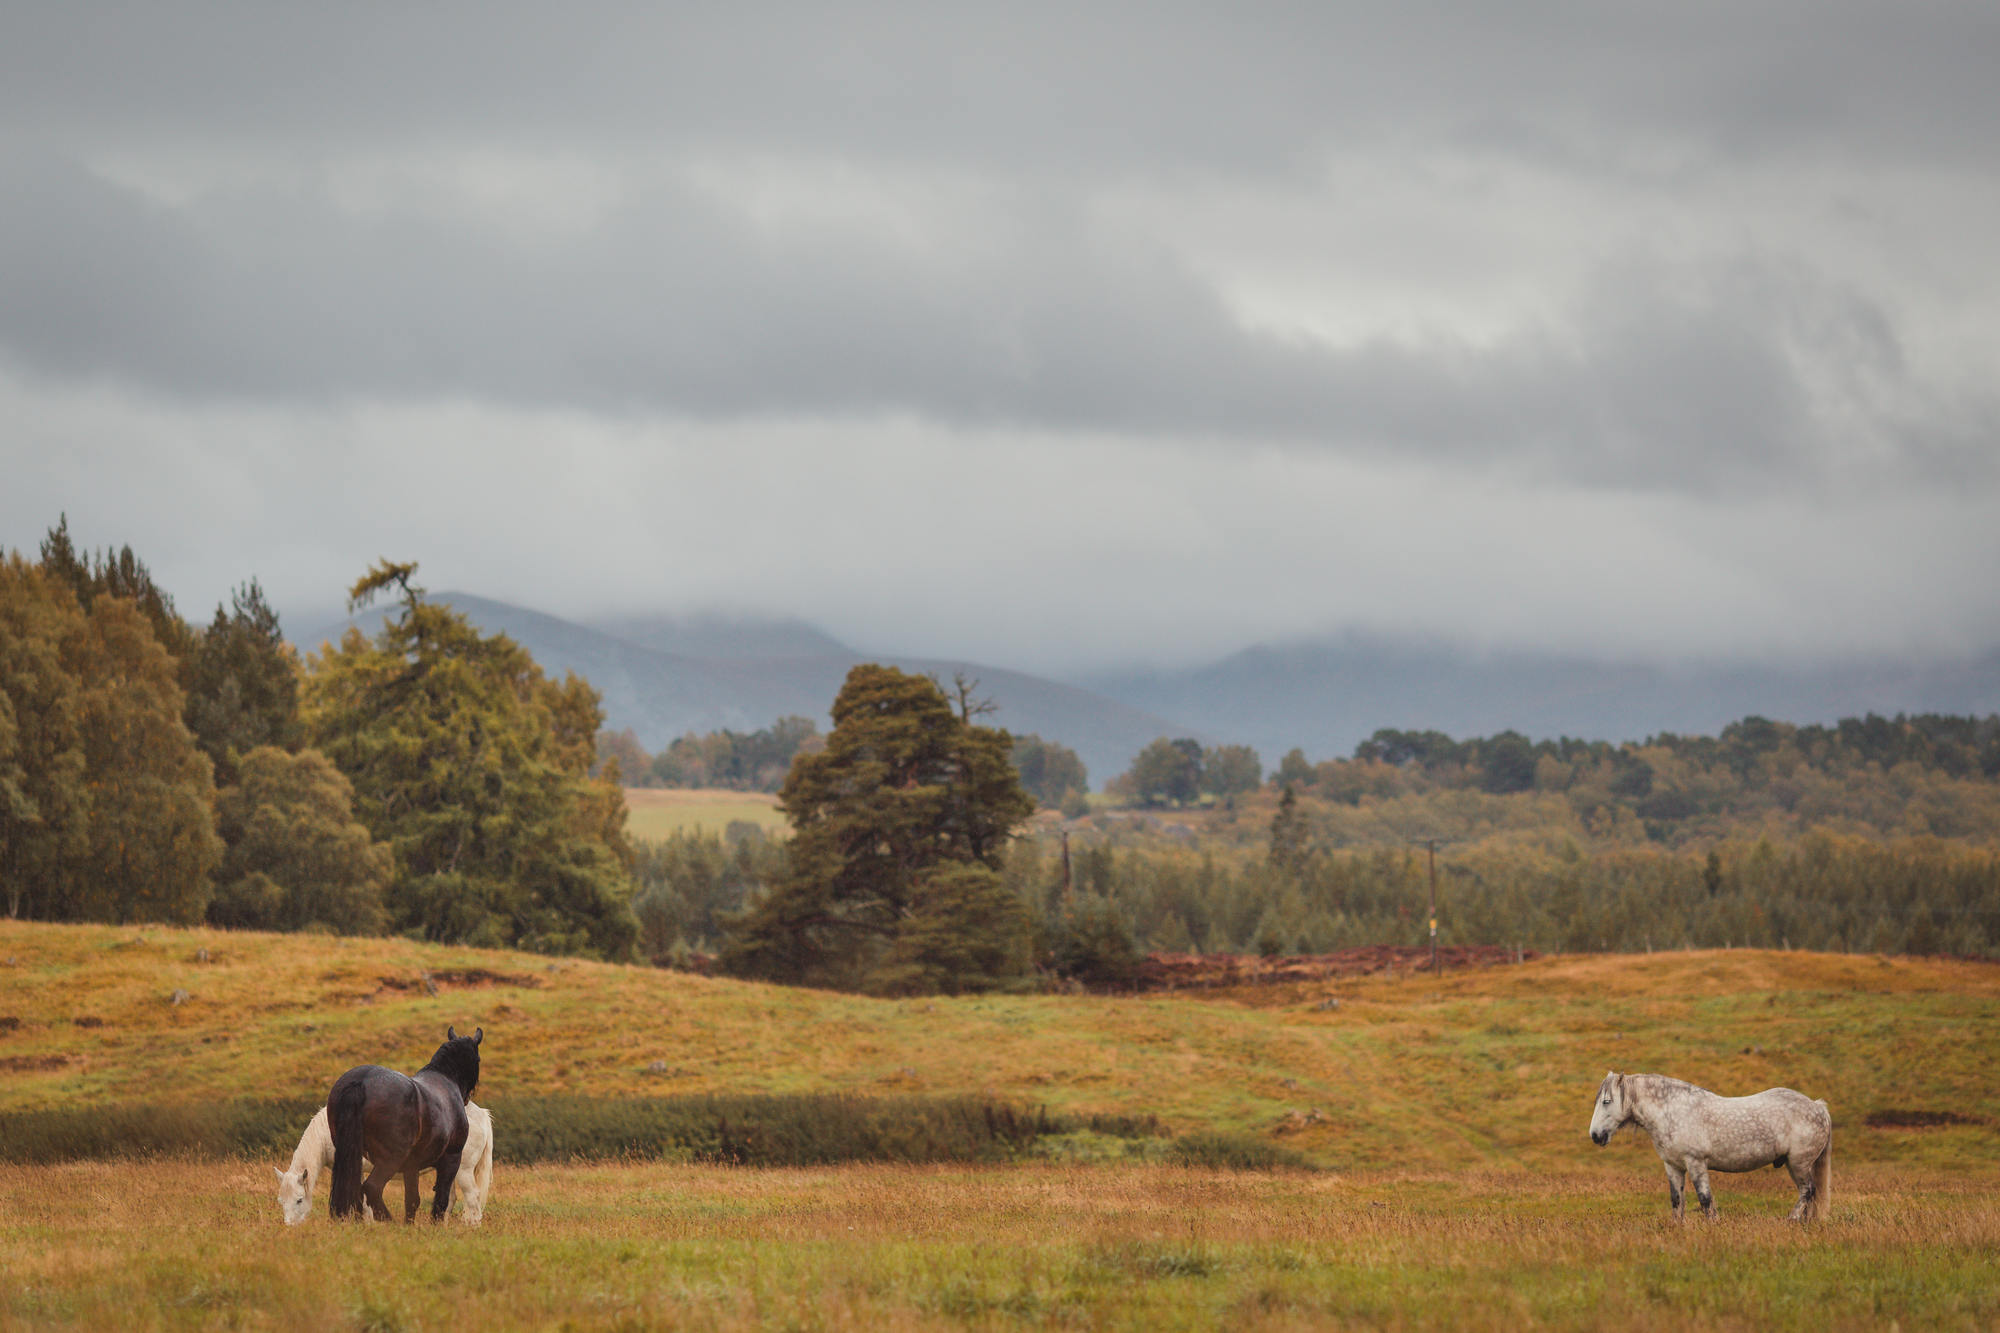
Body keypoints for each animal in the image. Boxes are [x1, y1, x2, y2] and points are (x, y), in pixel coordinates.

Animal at [276, 1096, 494, 1216]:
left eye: (299, 1200)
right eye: (281, 1201)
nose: (290, 1228)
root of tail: (481, 1114)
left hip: (463, 1170)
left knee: (472, 1198)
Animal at [332, 1020, 484, 1216]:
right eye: (478, 1059)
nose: (467, 1098)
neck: (445, 1078)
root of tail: (361, 1081)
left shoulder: (412, 1165)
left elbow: (412, 1200)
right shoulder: (451, 1158)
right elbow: (440, 1202)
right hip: (390, 1159)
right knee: (372, 1187)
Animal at [1592, 1064, 1832, 1216]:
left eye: (1606, 1101)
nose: (1595, 1135)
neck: (1672, 1111)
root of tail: (1818, 1106)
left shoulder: (1696, 1162)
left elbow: (1705, 1200)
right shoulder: (1673, 1166)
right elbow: (1677, 1201)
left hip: (1799, 1163)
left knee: (1808, 1191)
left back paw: (1791, 1220)